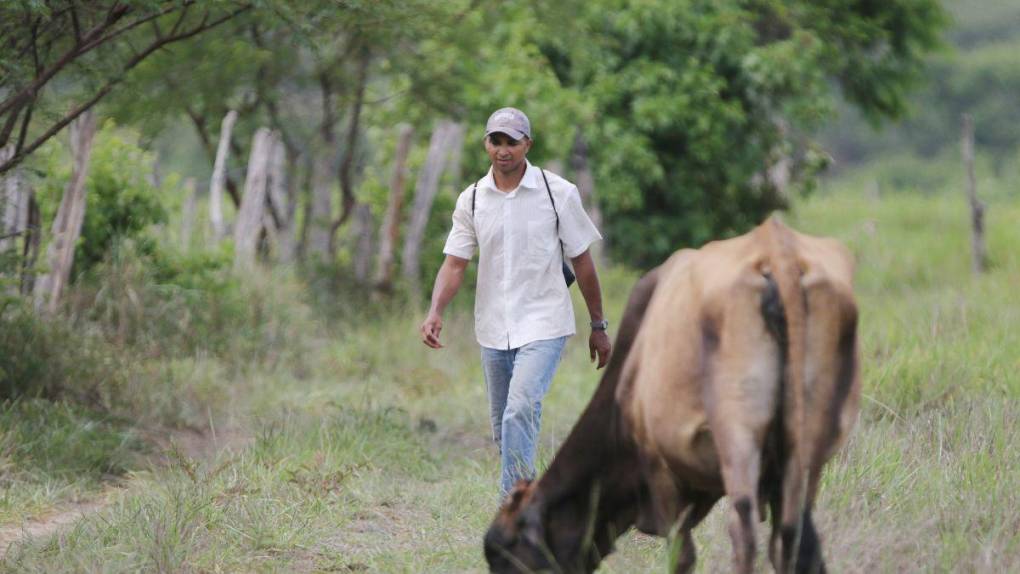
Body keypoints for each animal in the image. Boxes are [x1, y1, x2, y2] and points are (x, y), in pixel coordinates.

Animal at [485, 218, 860, 570]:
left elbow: (682, 556)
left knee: (744, 531)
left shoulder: (658, 467)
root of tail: (776, 252)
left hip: (737, 434)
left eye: (504, 553)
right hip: (809, 445)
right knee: (793, 540)